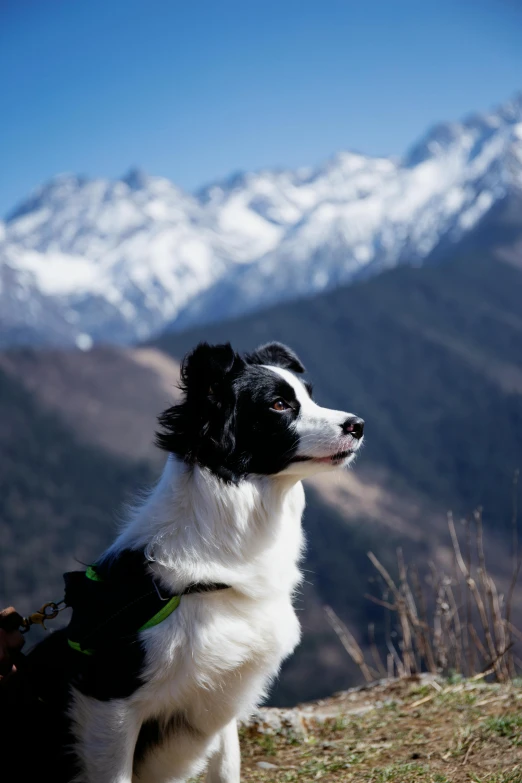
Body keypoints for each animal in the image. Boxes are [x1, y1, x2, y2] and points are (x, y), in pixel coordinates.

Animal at [1, 344, 362, 783]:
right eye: (278, 405)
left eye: (310, 396)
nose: (359, 425)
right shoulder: (110, 700)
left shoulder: (222, 693)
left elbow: (227, 768)